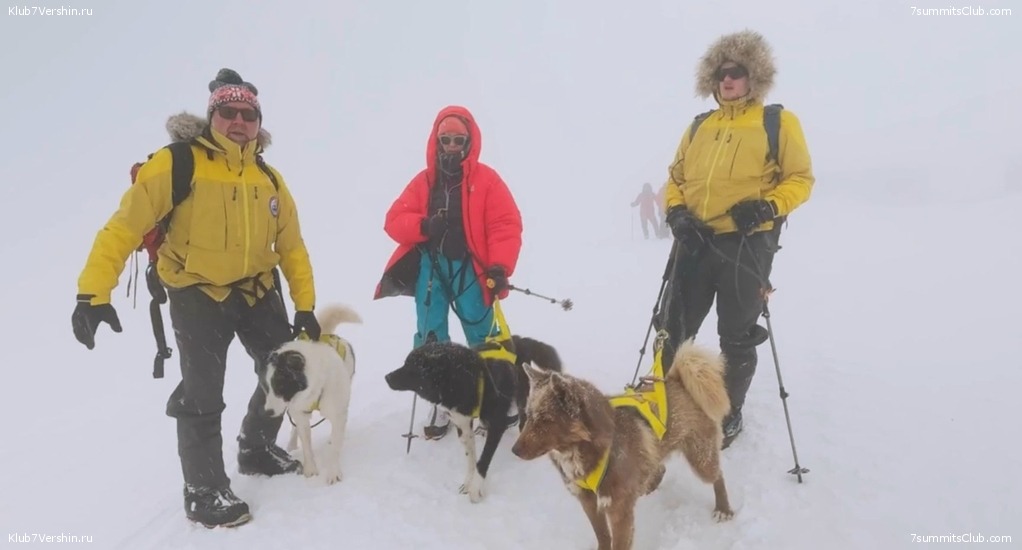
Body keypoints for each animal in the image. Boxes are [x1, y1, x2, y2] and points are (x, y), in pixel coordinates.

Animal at [262, 304, 361, 485]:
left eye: (280, 385)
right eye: (266, 387)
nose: (267, 413)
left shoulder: (337, 413)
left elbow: (335, 446)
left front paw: (333, 472)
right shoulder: (300, 413)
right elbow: (306, 445)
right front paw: (310, 470)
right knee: (295, 428)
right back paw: (292, 444)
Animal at [384, 334, 561, 502]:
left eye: (410, 366)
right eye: (405, 362)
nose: (386, 377)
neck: (463, 379)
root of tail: (519, 339)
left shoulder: (497, 424)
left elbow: (483, 460)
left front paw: (476, 488)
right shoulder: (462, 425)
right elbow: (471, 458)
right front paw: (468, 482)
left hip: (520, 395)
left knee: (523, 418)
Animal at [511, 339, 734, 550]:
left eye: (545, 420)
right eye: (528, 415)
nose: (514, 451)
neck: (587, 448)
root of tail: (679, 380)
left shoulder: (619, 511)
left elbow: (617, 542)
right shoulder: (589, 503)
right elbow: (602, 536)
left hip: (701, 459)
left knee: (718, 476)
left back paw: (723, 509)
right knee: (659, 468)